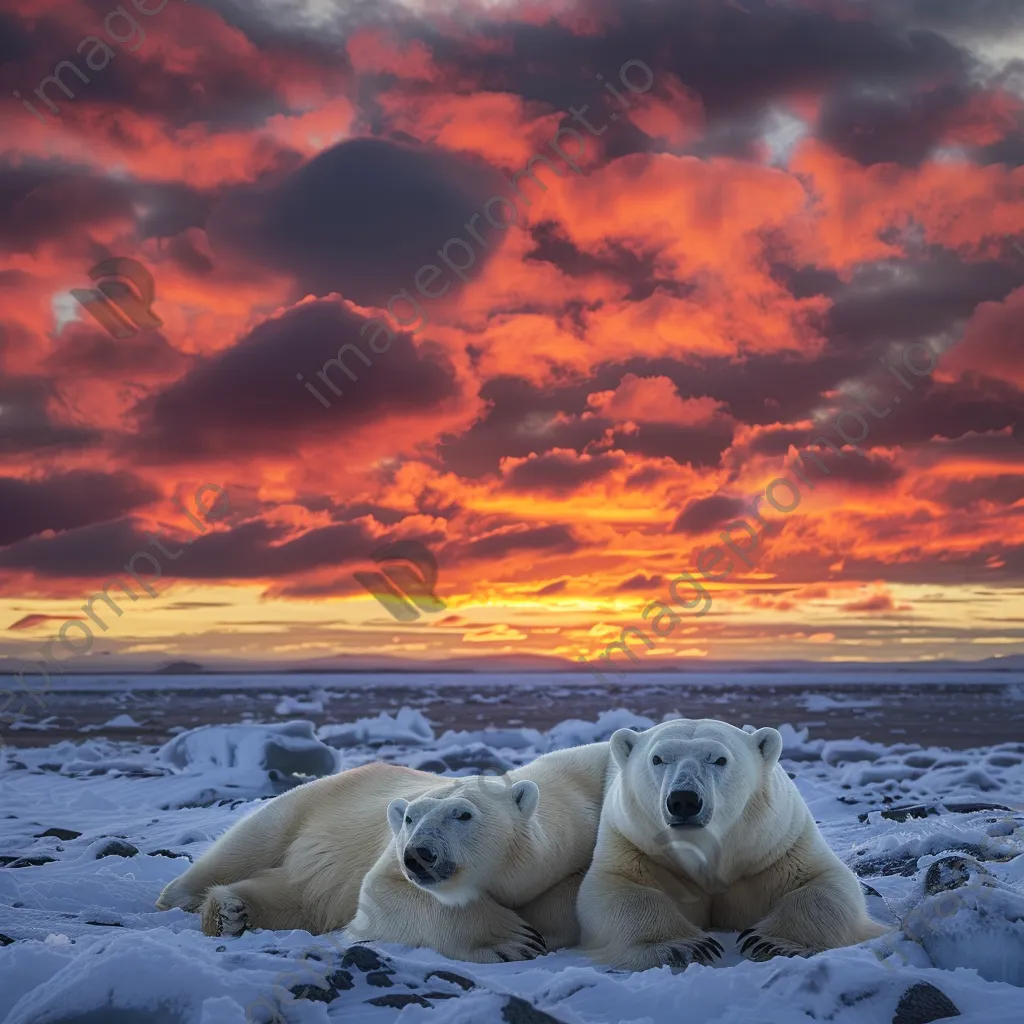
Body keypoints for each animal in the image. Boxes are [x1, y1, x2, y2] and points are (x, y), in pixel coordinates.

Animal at [155, 741, 610, 962]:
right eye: (410, 817)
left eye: (463, 814)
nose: (420, 854)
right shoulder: (390, 856)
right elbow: (384, 892)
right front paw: (512, 940)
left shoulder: (574, 839)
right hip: (306, 807)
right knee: (245, 847)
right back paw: (199, 905)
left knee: (298, 897)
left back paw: (235, 911)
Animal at [577, 716, 888, 970]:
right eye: (657, 758)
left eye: (719, 759)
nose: (684, 800)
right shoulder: (635, 844)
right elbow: (613, 890)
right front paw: (686, 946)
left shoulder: (778, 845)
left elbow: (828, 885)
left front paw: (769, 942)